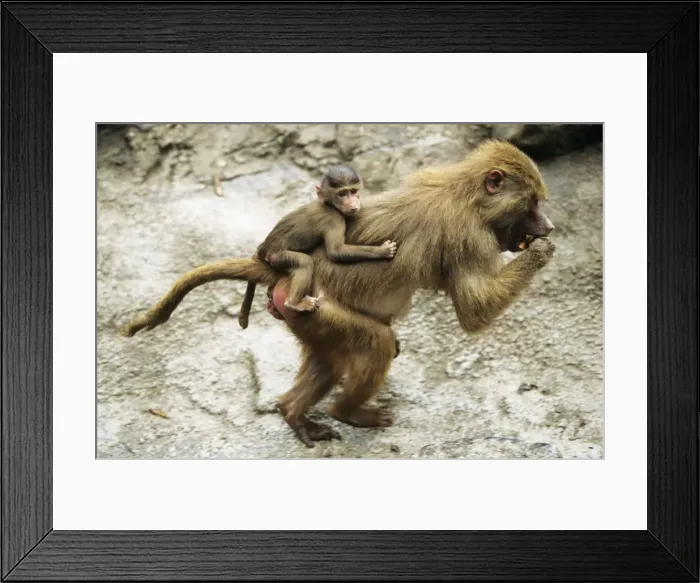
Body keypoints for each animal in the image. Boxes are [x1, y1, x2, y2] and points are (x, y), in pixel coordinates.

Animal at [237, 164, 397, 329]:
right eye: (342, 194)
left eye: (353, 191)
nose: (353, 203)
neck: (329, 204)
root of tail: (266, 247)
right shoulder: (334, 219)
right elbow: (336, 251)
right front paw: (382, 251)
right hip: (277, 256)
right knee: (304, 262)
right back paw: (293, 303)